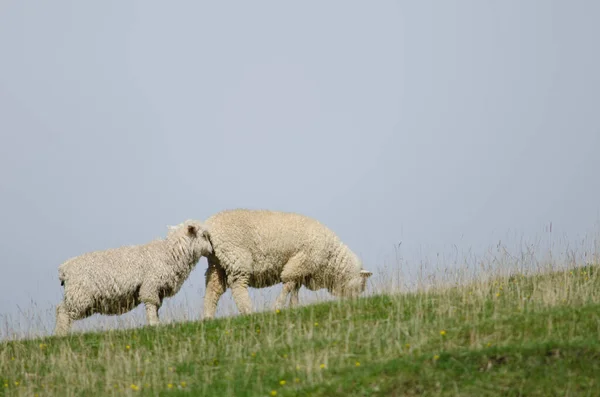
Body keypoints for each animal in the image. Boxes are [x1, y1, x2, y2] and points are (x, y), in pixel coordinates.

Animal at [53, 218, 213, 336]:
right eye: (204, 235)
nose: (212, 250)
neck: (169, 253)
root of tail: (64, 269)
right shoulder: (150, 285)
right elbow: (151, 305)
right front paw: (154, 324)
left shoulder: (158, 290)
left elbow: (156, 307)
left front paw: (157, 323)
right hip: (79, 295)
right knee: (63, 312)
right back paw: (61, 335)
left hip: (79, 296)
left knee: (61, 309)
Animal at [202, 207, 370, 318]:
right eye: (361, 285)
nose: (355, 302)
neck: (330, 257)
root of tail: (209, 225)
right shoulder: (300, 262)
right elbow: (288, 284)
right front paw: (277, 306)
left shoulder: (302, 270)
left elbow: (294, 288)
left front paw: (293, 306)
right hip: (236, 258)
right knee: (238, 286)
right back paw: (248, 311)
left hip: (217, 263)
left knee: (213, 288)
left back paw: (208, 317)